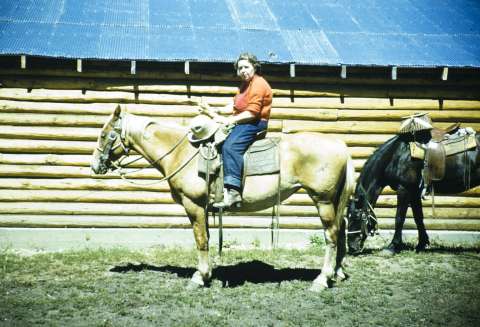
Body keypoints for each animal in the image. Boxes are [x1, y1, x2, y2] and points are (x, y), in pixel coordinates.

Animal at [90, 107, 354, 292]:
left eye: (104, 135)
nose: (94, 166)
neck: (181, 152)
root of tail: (340, 145)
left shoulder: (193, 205)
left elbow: (200, 240)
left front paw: (200, 277)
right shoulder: (204, 207)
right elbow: (206, 238)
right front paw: (207, 274)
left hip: (323, 200)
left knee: (331, 235)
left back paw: (322, 280)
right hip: (334, 202)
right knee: (341, 230)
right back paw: (337, 273)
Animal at [346, 131, 478, 256]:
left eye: (356, 217)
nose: (351, 247)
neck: (396, 156)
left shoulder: (404, 189)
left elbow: (399, 218)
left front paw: (393, 246)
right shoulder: (414, 192)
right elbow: (418, 217)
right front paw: (422, 244)